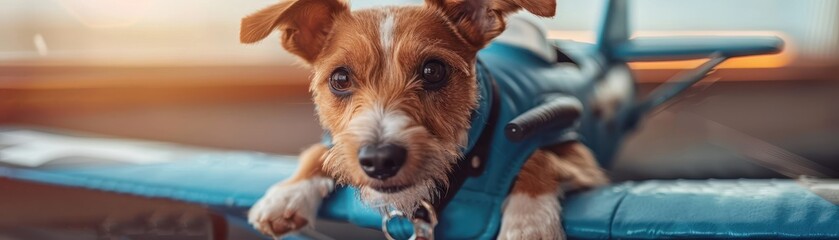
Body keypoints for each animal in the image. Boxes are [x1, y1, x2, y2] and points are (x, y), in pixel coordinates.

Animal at [240, 0, 608, 238]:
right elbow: (322, 151)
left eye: (433, 71)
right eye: (340, 78)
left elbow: (539, 158)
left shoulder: (583, 158)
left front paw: (528, 223)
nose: (379, 160)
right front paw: (287, 194)